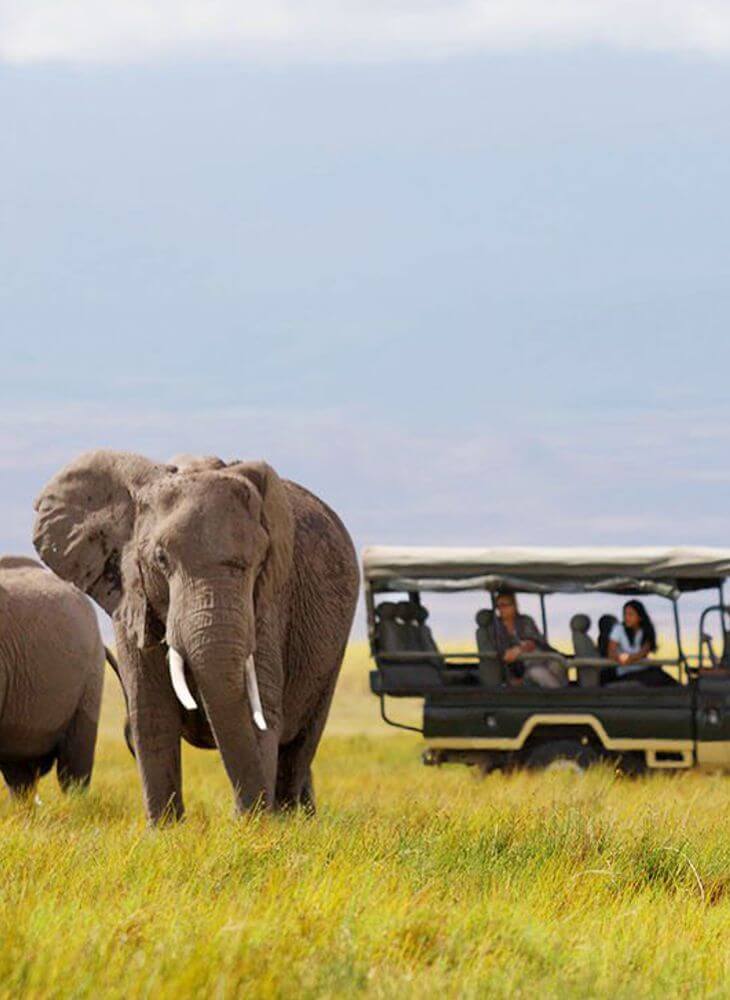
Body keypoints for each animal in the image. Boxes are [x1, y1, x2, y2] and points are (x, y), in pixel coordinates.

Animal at [34, 450, 358, 824]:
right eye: (161, 558)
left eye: (258, 560)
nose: (246, 815)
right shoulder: (130, 598)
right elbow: (152, 712)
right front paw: (166, 830)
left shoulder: (268, 603)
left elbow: (257, 709)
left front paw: (255, 827)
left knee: (302, 741)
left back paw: (293, 819)